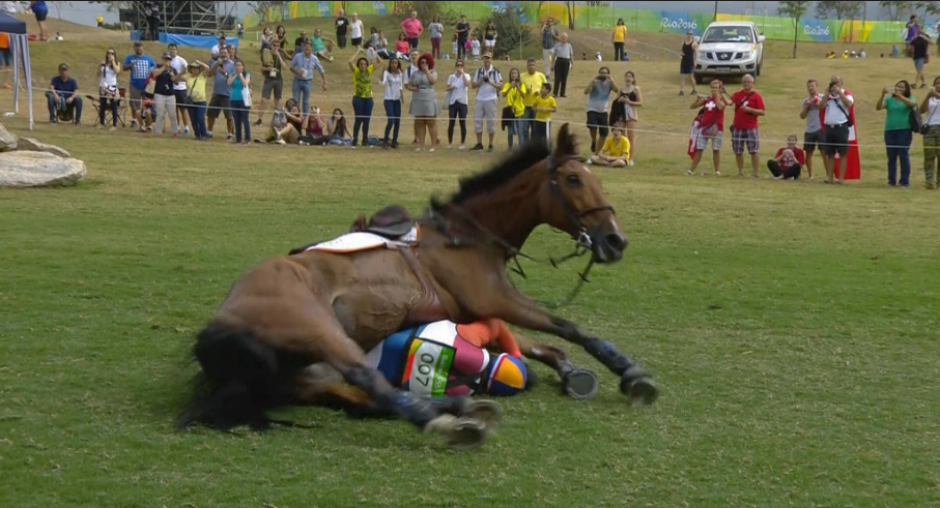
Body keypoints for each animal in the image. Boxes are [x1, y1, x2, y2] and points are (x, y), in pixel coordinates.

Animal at [178, 124, 657, 449]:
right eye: (574, 180)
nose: (616, 240)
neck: (468, 235)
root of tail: (214, 332)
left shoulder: (479, 312)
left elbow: (543, 344)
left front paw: (573, 371)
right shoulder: (496, 299)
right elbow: (567, 326)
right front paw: (629, 372)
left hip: (308, 374)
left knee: (368, 397)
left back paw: (460, 407)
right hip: (318, 328)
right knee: (370, 383)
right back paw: (450, 421)